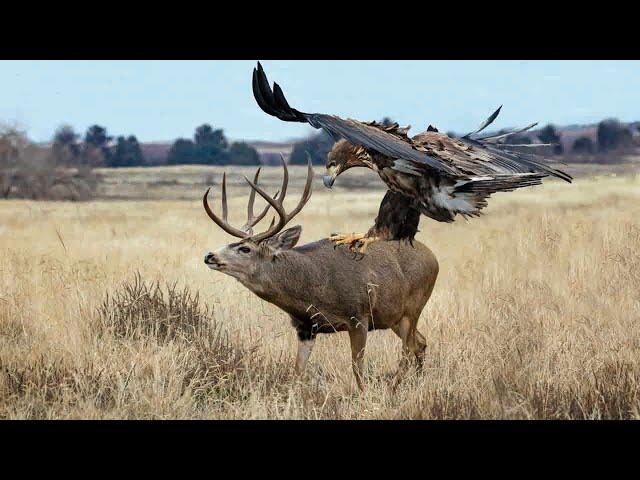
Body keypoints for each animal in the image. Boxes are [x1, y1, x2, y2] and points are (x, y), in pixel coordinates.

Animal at [202, 160, 438, 390]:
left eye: (245, 249)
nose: (209, 255)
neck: (314, 288)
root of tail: (433, 258)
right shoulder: (305, 327)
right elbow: (297, 371)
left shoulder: (359, 315)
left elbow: (357, 369)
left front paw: (364, 396)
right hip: (394, 317)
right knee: (420, 342)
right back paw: (417, 382)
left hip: (413, 307)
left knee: (408, 348)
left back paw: (395, 386)